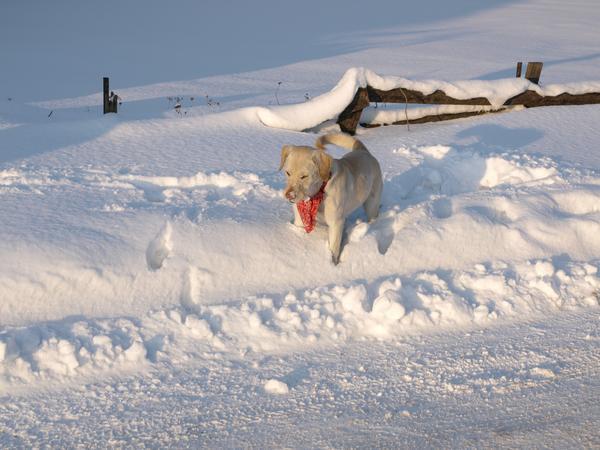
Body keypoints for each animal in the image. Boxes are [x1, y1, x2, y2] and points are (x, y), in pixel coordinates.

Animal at [279, 132, 383, 264]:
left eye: (304, 176)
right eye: (288, 173)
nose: (289, 195)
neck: (318, 193)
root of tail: (363, 151)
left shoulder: (335, 223)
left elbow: (333, 248)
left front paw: (332, 264)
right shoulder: (299, 219)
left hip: (371, 204)